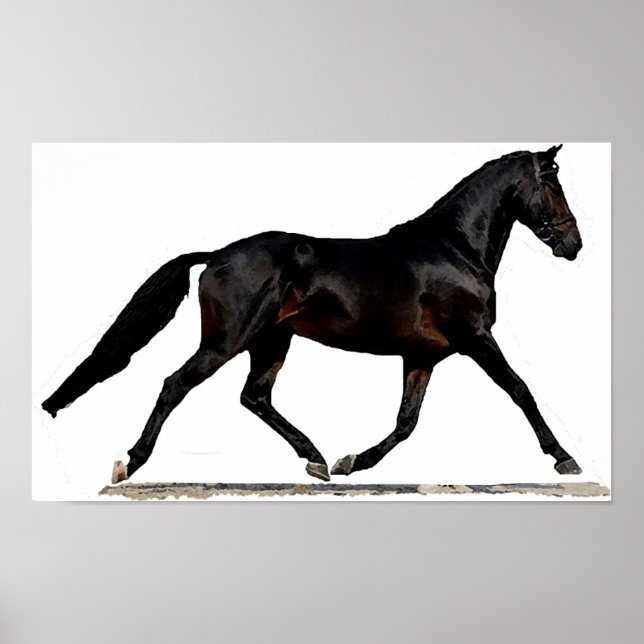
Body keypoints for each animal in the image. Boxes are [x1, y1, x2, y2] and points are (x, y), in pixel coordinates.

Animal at [42, 145, 584, 484]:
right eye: (553, 185)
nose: (573, 245)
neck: (454, 249)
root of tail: (216, 255)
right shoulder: (475, 337)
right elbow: (521, 391)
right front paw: (565, 460)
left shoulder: (421, 357)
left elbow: (406, 422)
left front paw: (351, 462)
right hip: (228, 341)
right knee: (176, 384)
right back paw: (130, 464)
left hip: (272, 342)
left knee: (255, 397)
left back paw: (317, 459)